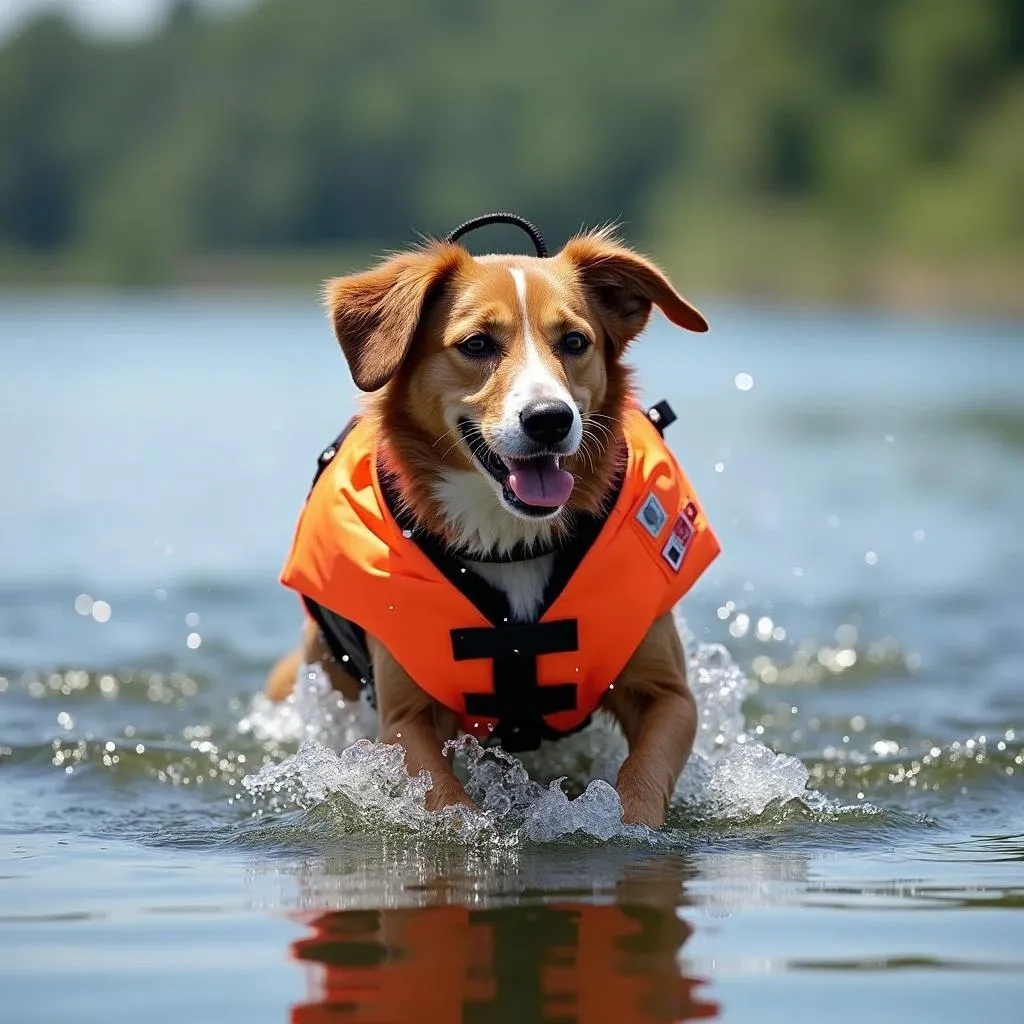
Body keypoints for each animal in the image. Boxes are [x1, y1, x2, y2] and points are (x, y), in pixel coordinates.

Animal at [272, 220, 720, 827]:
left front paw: (621, 820)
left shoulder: (669, 697)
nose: (550, 419)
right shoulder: (406, 721)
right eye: (477, 344)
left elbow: (642, 778)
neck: (511, 541)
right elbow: (442, 798)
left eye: (574, 342)